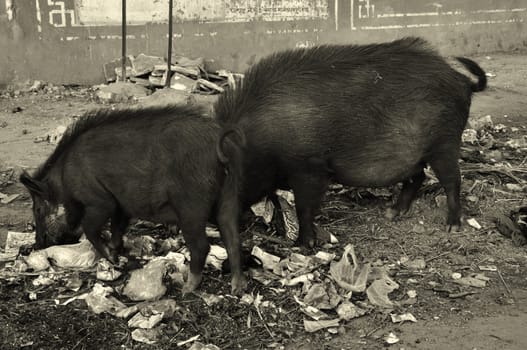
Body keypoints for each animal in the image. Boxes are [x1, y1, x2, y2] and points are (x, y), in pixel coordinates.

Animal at [18, 105, 245, 294]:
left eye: (37, 209)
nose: (36, 245)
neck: (63, 180)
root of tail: (219, 146)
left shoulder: (99, 201)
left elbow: (90, 228)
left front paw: (112, 258)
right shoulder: (121, 207)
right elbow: (117, 228)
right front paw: (116, 251)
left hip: (191, 206)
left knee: (201, 246)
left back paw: (186, 289)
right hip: (229, 195)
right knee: (233, 239)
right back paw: (236, 289)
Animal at [217, 37, 488, 252]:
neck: (259, 142)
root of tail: (463, 82)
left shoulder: (311, 169)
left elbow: (304, 207)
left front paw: (303, 245)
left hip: (445, 143)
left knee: (452, 180)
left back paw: (452, 226)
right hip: (415, 154)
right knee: (418, 176)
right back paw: (392, 213)